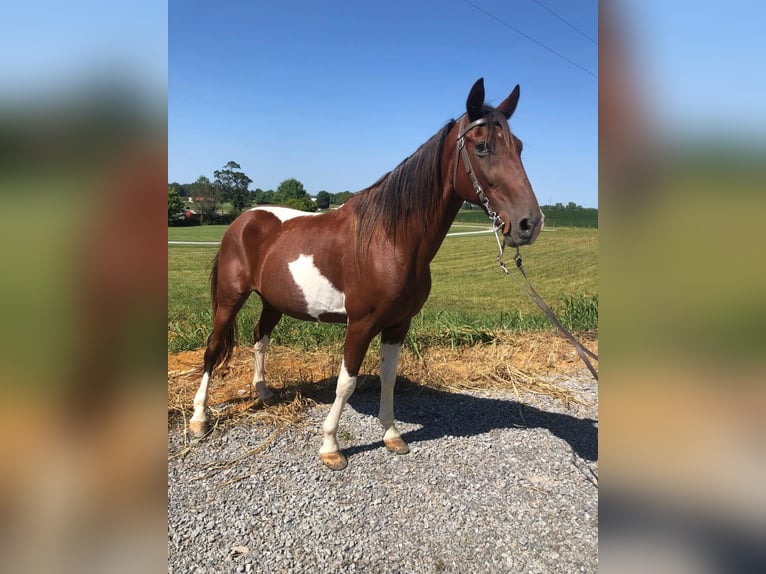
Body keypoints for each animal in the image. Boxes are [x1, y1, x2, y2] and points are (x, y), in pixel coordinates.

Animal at [189, 77, 544, 472]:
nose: (529, 223)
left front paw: (391, 434)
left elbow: (388, 377)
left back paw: (263, 392)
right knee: (213, 347)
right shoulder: (359, 324)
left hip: (272, 302)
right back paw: (199, 418)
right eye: (482, 146)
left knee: (259, 339)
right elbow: (347, 383)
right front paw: (331, 446)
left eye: (519, 147)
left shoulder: (398, 324)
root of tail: (242, 220)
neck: (391, 240)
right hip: (230, 298)